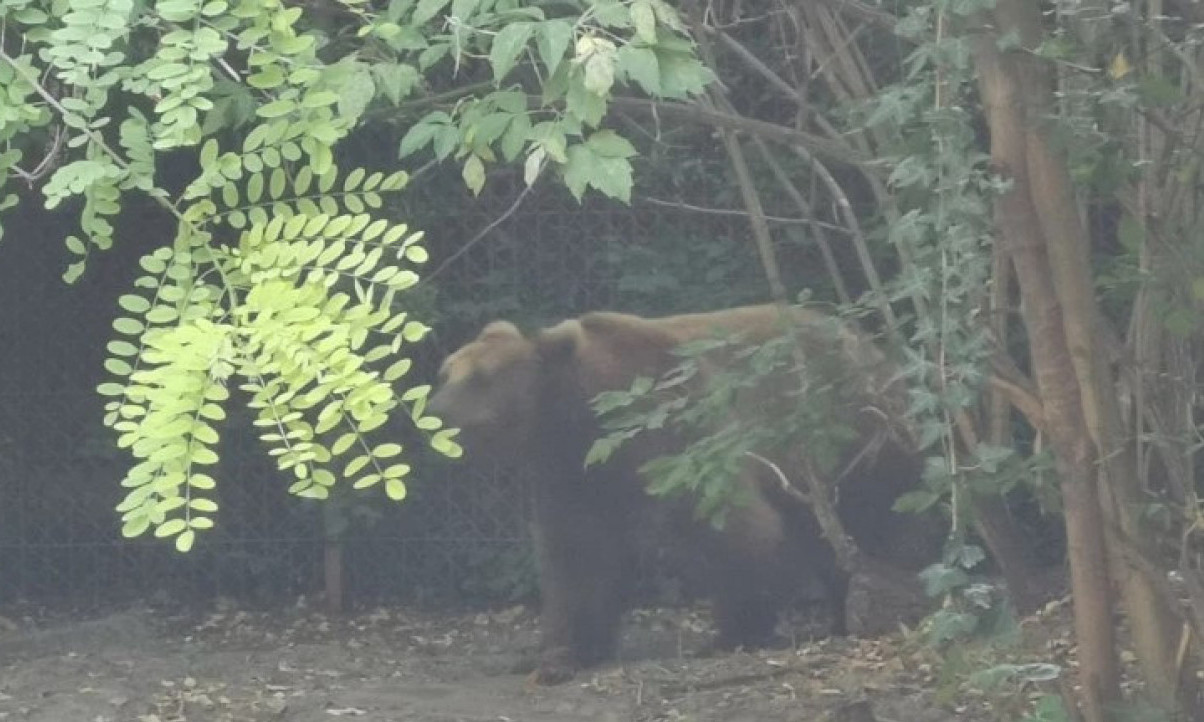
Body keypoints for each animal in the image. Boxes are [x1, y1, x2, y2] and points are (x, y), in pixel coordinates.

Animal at [428, 303, 924, 683]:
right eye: (446, 372)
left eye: (481, 378)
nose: (433, 411)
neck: (583, 420)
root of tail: (871, 346)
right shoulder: (573, 478)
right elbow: (576, 556)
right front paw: (561, 652)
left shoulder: (680, 437)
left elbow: (734, 529)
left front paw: (733, 631)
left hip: (853, 436)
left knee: (881, 513)